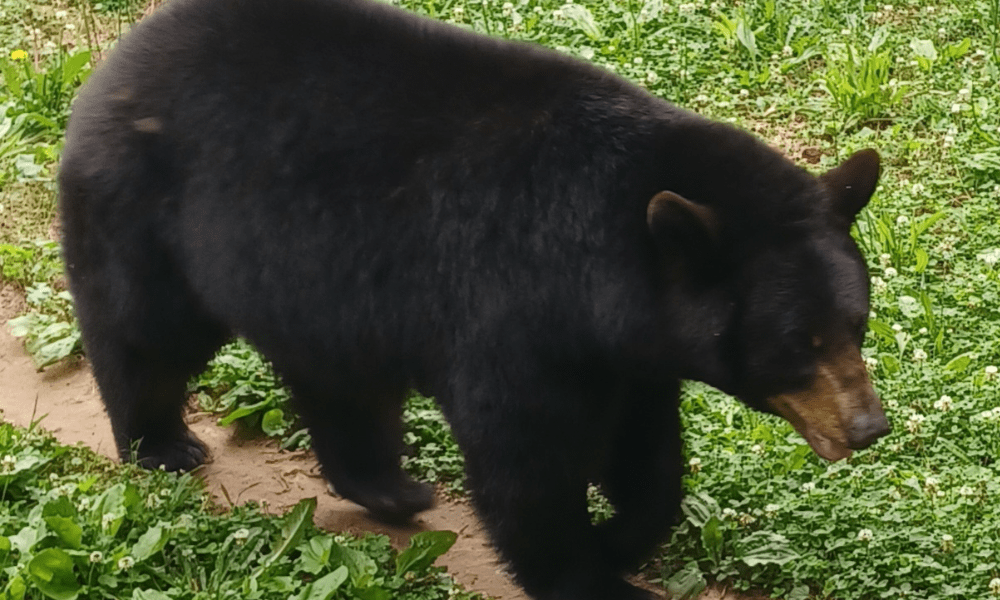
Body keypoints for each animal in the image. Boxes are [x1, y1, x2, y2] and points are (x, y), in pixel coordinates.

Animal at [58, 0, 890, 598]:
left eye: (856, 323)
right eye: (800, 342)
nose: (868, 426)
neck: (604, 260)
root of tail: (116, 57)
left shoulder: (628, 351)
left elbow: (643, 448)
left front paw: (623, 535)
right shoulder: (511, 305)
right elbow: (523, 457)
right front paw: (590, 575)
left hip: (317, 292)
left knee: (343, 387)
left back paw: (391, 490)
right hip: (147, 213)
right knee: (143, 334)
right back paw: (161, 443)